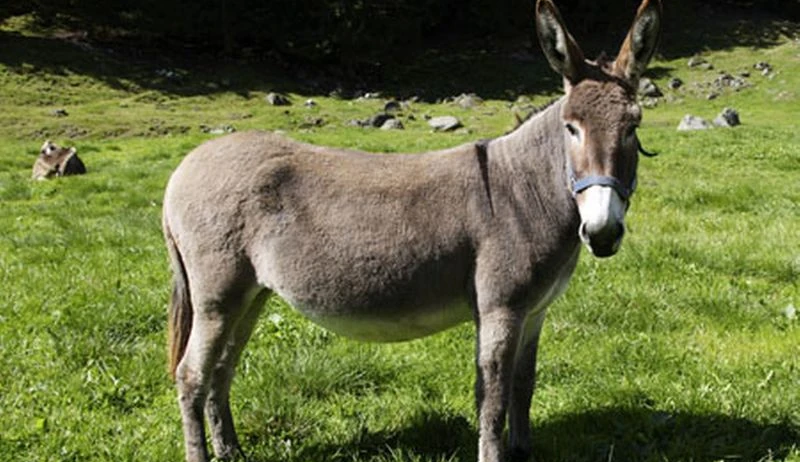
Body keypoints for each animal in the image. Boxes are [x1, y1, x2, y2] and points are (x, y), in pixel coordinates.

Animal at [162, 0, 662, 460]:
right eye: (570, 128)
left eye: (633, 127)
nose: (602, 232)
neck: (524, 192)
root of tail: (184, 167)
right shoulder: (500, 309)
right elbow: (493, 400)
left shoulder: (535, 311)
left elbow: (523, 387)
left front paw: (523, 452)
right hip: (217, 295)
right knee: (191, 374)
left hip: (252, 294)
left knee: (221, 369)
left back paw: (231, 452)